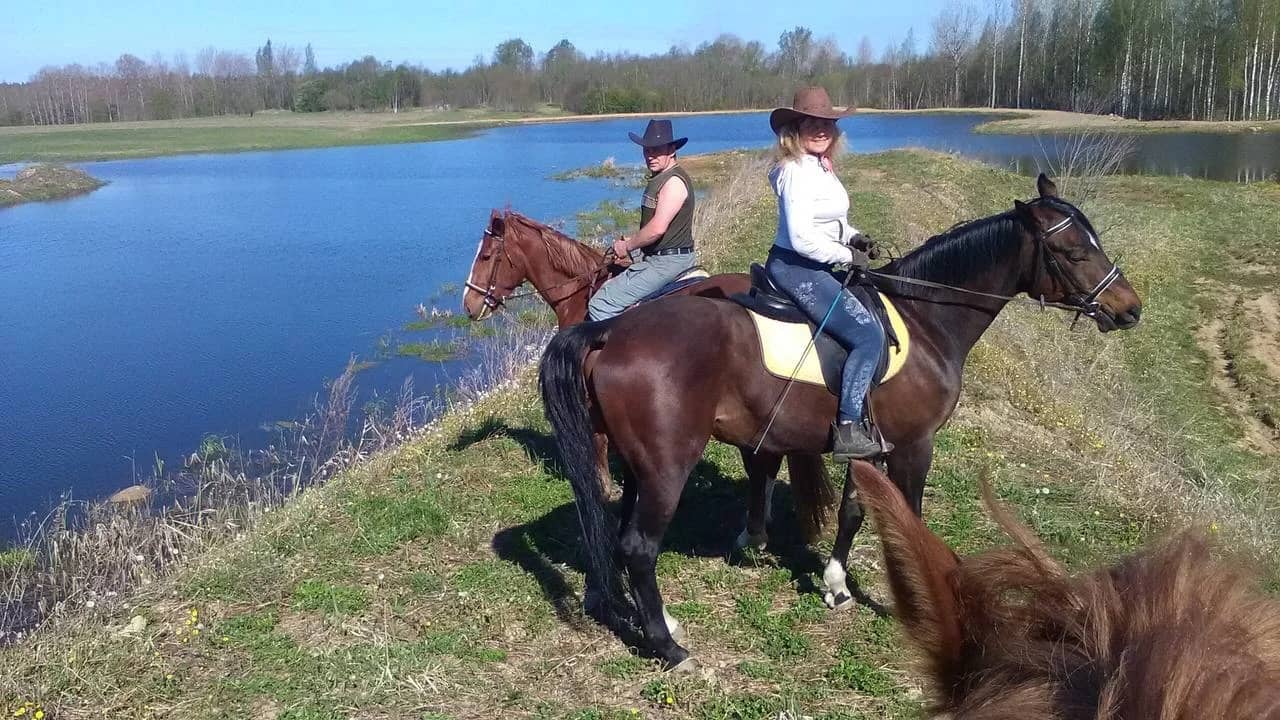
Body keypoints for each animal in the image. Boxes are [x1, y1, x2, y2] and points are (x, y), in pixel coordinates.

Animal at [537, 172, 1141, 661]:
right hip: (666, 467)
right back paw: (669, 647)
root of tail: (610, 331)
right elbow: (908, 515)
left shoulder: (868, 444)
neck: (926, 319)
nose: (1130, 309)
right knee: (639, 547)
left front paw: (835, 584)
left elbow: (853, 510)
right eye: (1073, 250)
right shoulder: (915, 445)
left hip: (638, 465)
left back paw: (646, 617)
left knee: (617, 531)